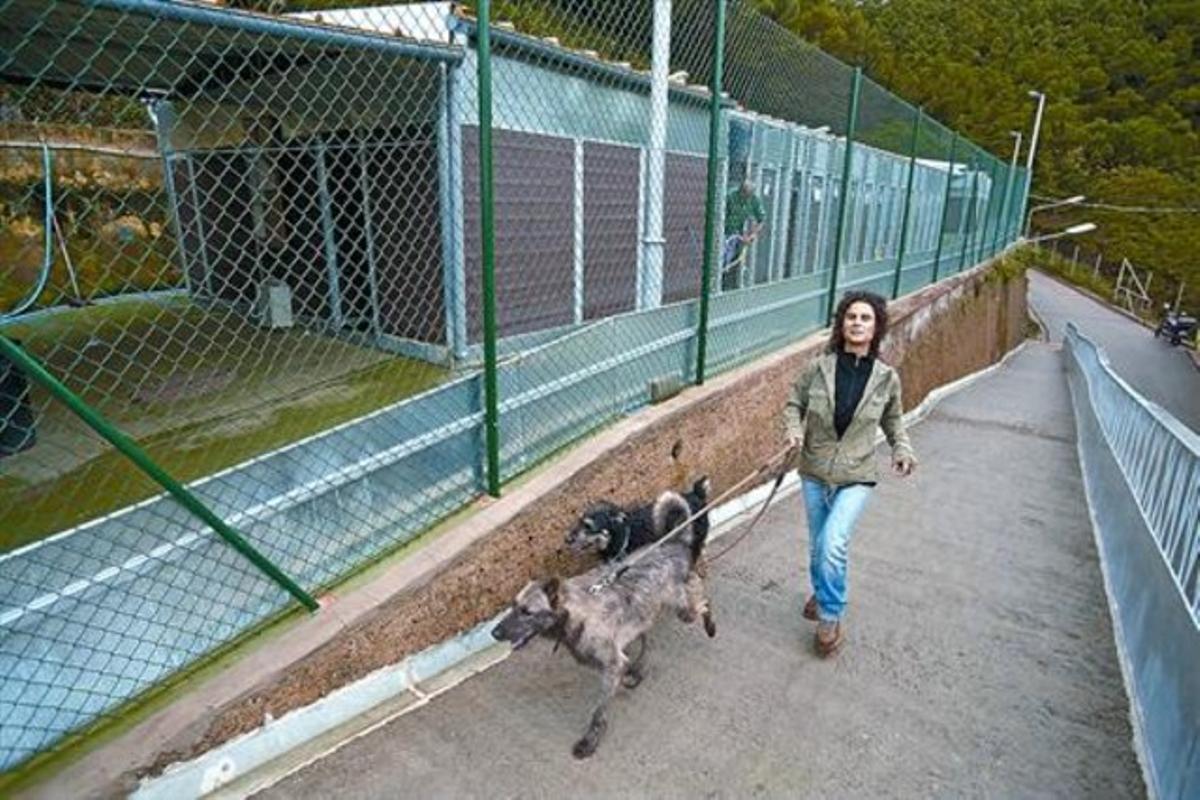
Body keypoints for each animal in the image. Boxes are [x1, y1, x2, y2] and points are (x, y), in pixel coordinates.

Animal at [487, 491, 710, 762]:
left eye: (527, 612)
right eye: (512, 606)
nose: (494, 633)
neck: (576, 613)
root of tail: (672, 543)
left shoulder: (611, 664)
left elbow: (598, 711)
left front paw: (590, 740)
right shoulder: (615, 654)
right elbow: (627, 660)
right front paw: (633, 671)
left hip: (683, 609)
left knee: (702, 602)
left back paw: (709, 623)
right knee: (647, 636)